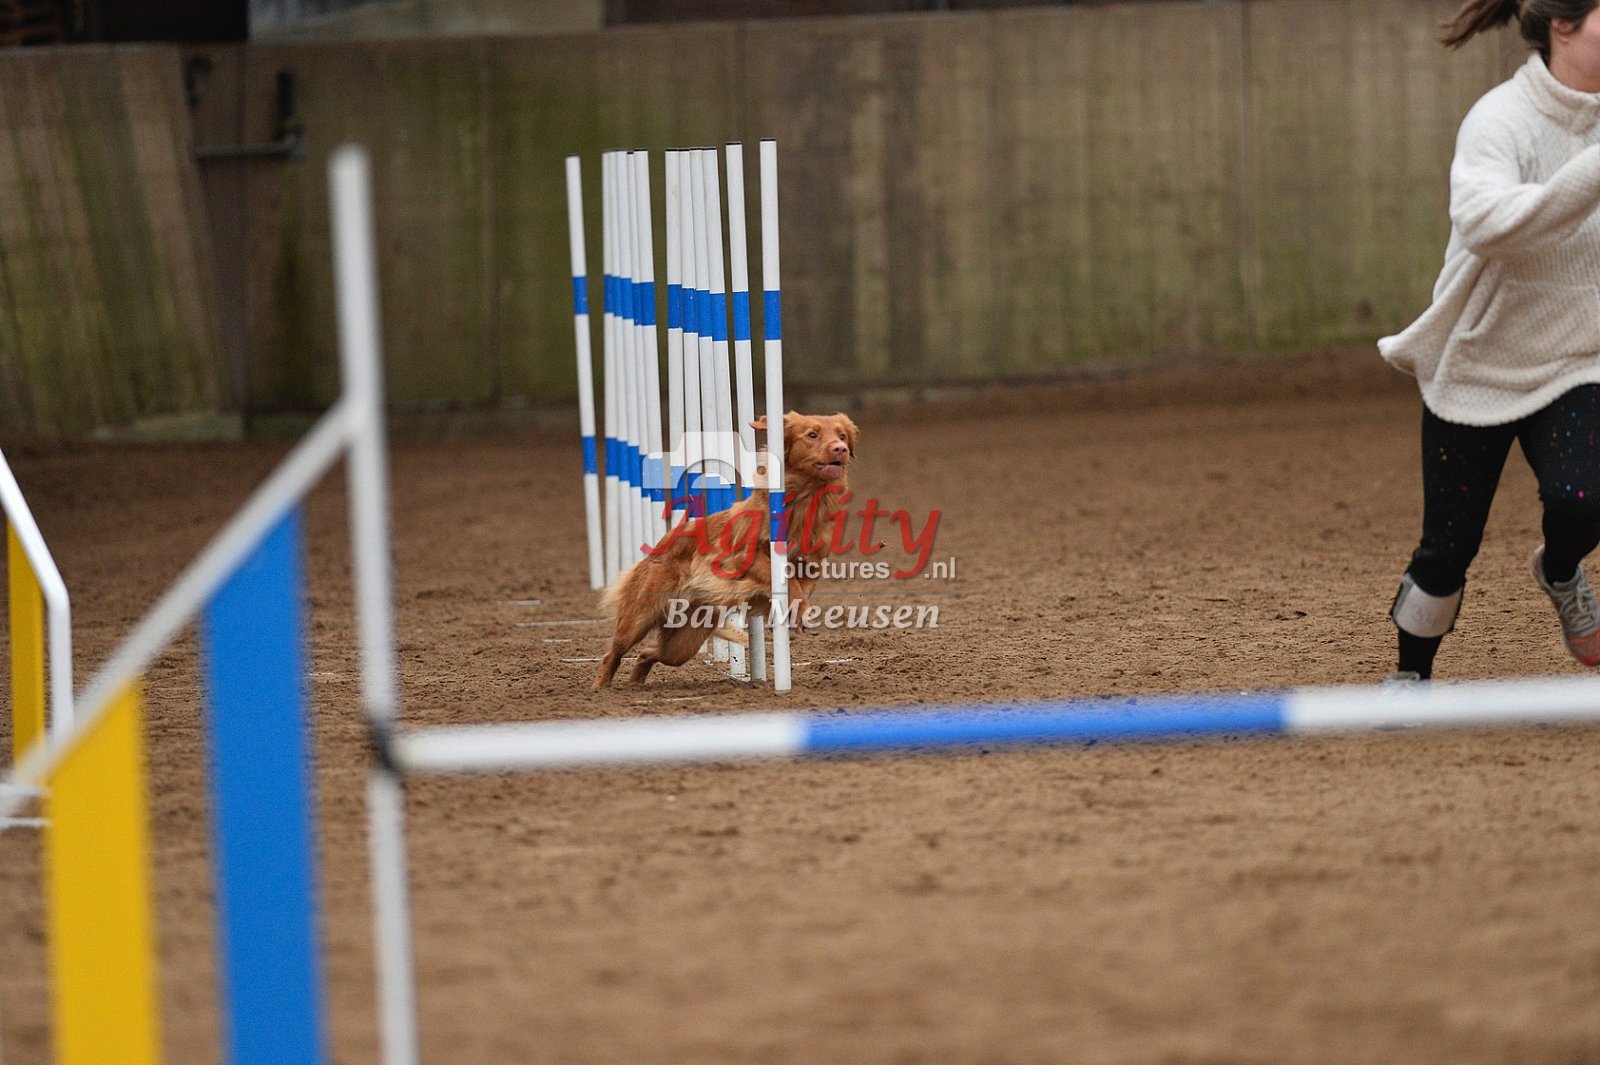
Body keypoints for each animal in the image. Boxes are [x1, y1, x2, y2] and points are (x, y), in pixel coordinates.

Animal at [594, 411, 859, 688]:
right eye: (812, 435)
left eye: (842, 436)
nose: (840, 448)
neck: (805, 501)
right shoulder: (745, 557)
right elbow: (787, 580)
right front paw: (800, 611)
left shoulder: (811, 564)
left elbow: (801, 585)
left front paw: (799, 613)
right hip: (639, 617)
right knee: (613, 653)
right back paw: (600, 688)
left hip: (685, 640)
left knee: (648, 653)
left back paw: (635, 684)